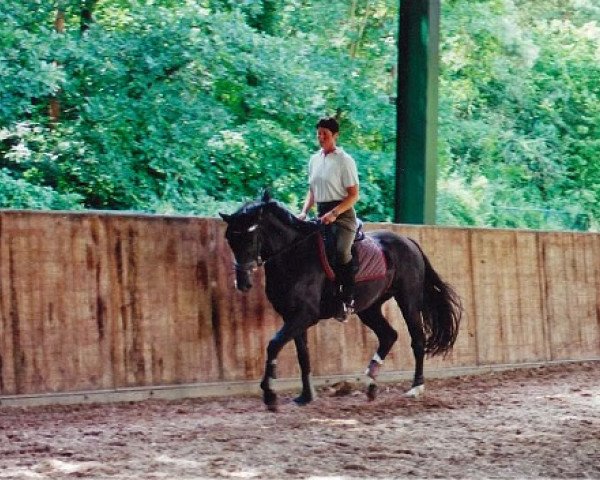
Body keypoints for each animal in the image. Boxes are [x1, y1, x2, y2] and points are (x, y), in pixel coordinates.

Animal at [221, 193, 464, 410]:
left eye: (249, 237)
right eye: (230, 240)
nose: (242, 282)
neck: (294, 255)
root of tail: (409, 241)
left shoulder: (304, 315)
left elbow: (273, 344)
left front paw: (270, 394)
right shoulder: (293, 317)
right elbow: (303, 355)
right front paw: (306, 396)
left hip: (409, 301)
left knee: (417, 340)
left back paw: (416, 387)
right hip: (369, 308)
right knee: (389, 335)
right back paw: (370, 383)